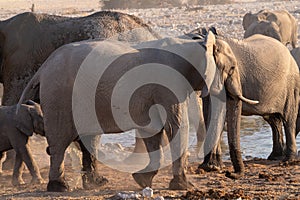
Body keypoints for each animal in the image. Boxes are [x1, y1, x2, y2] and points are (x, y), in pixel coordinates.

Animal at [16, 31, 256, 192]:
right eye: (232, 68)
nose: (230, 174)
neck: (194, 42)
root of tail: (42, 69)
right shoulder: (169, 82)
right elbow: (175, 126)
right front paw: (183, 186)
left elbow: (154, 129)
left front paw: (142, 180)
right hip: (59, 96)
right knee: (59, 141)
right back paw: (59, 187)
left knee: (89, 139)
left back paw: (96, 183)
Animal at [190, 27, 298, 178]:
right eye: (231, 68)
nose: (229, 174)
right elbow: (210, 112)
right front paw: (212, 167)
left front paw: (212, 167)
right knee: (273, 119)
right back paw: (275, 157)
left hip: (291, 85)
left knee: (288, 120)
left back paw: (288, 161)